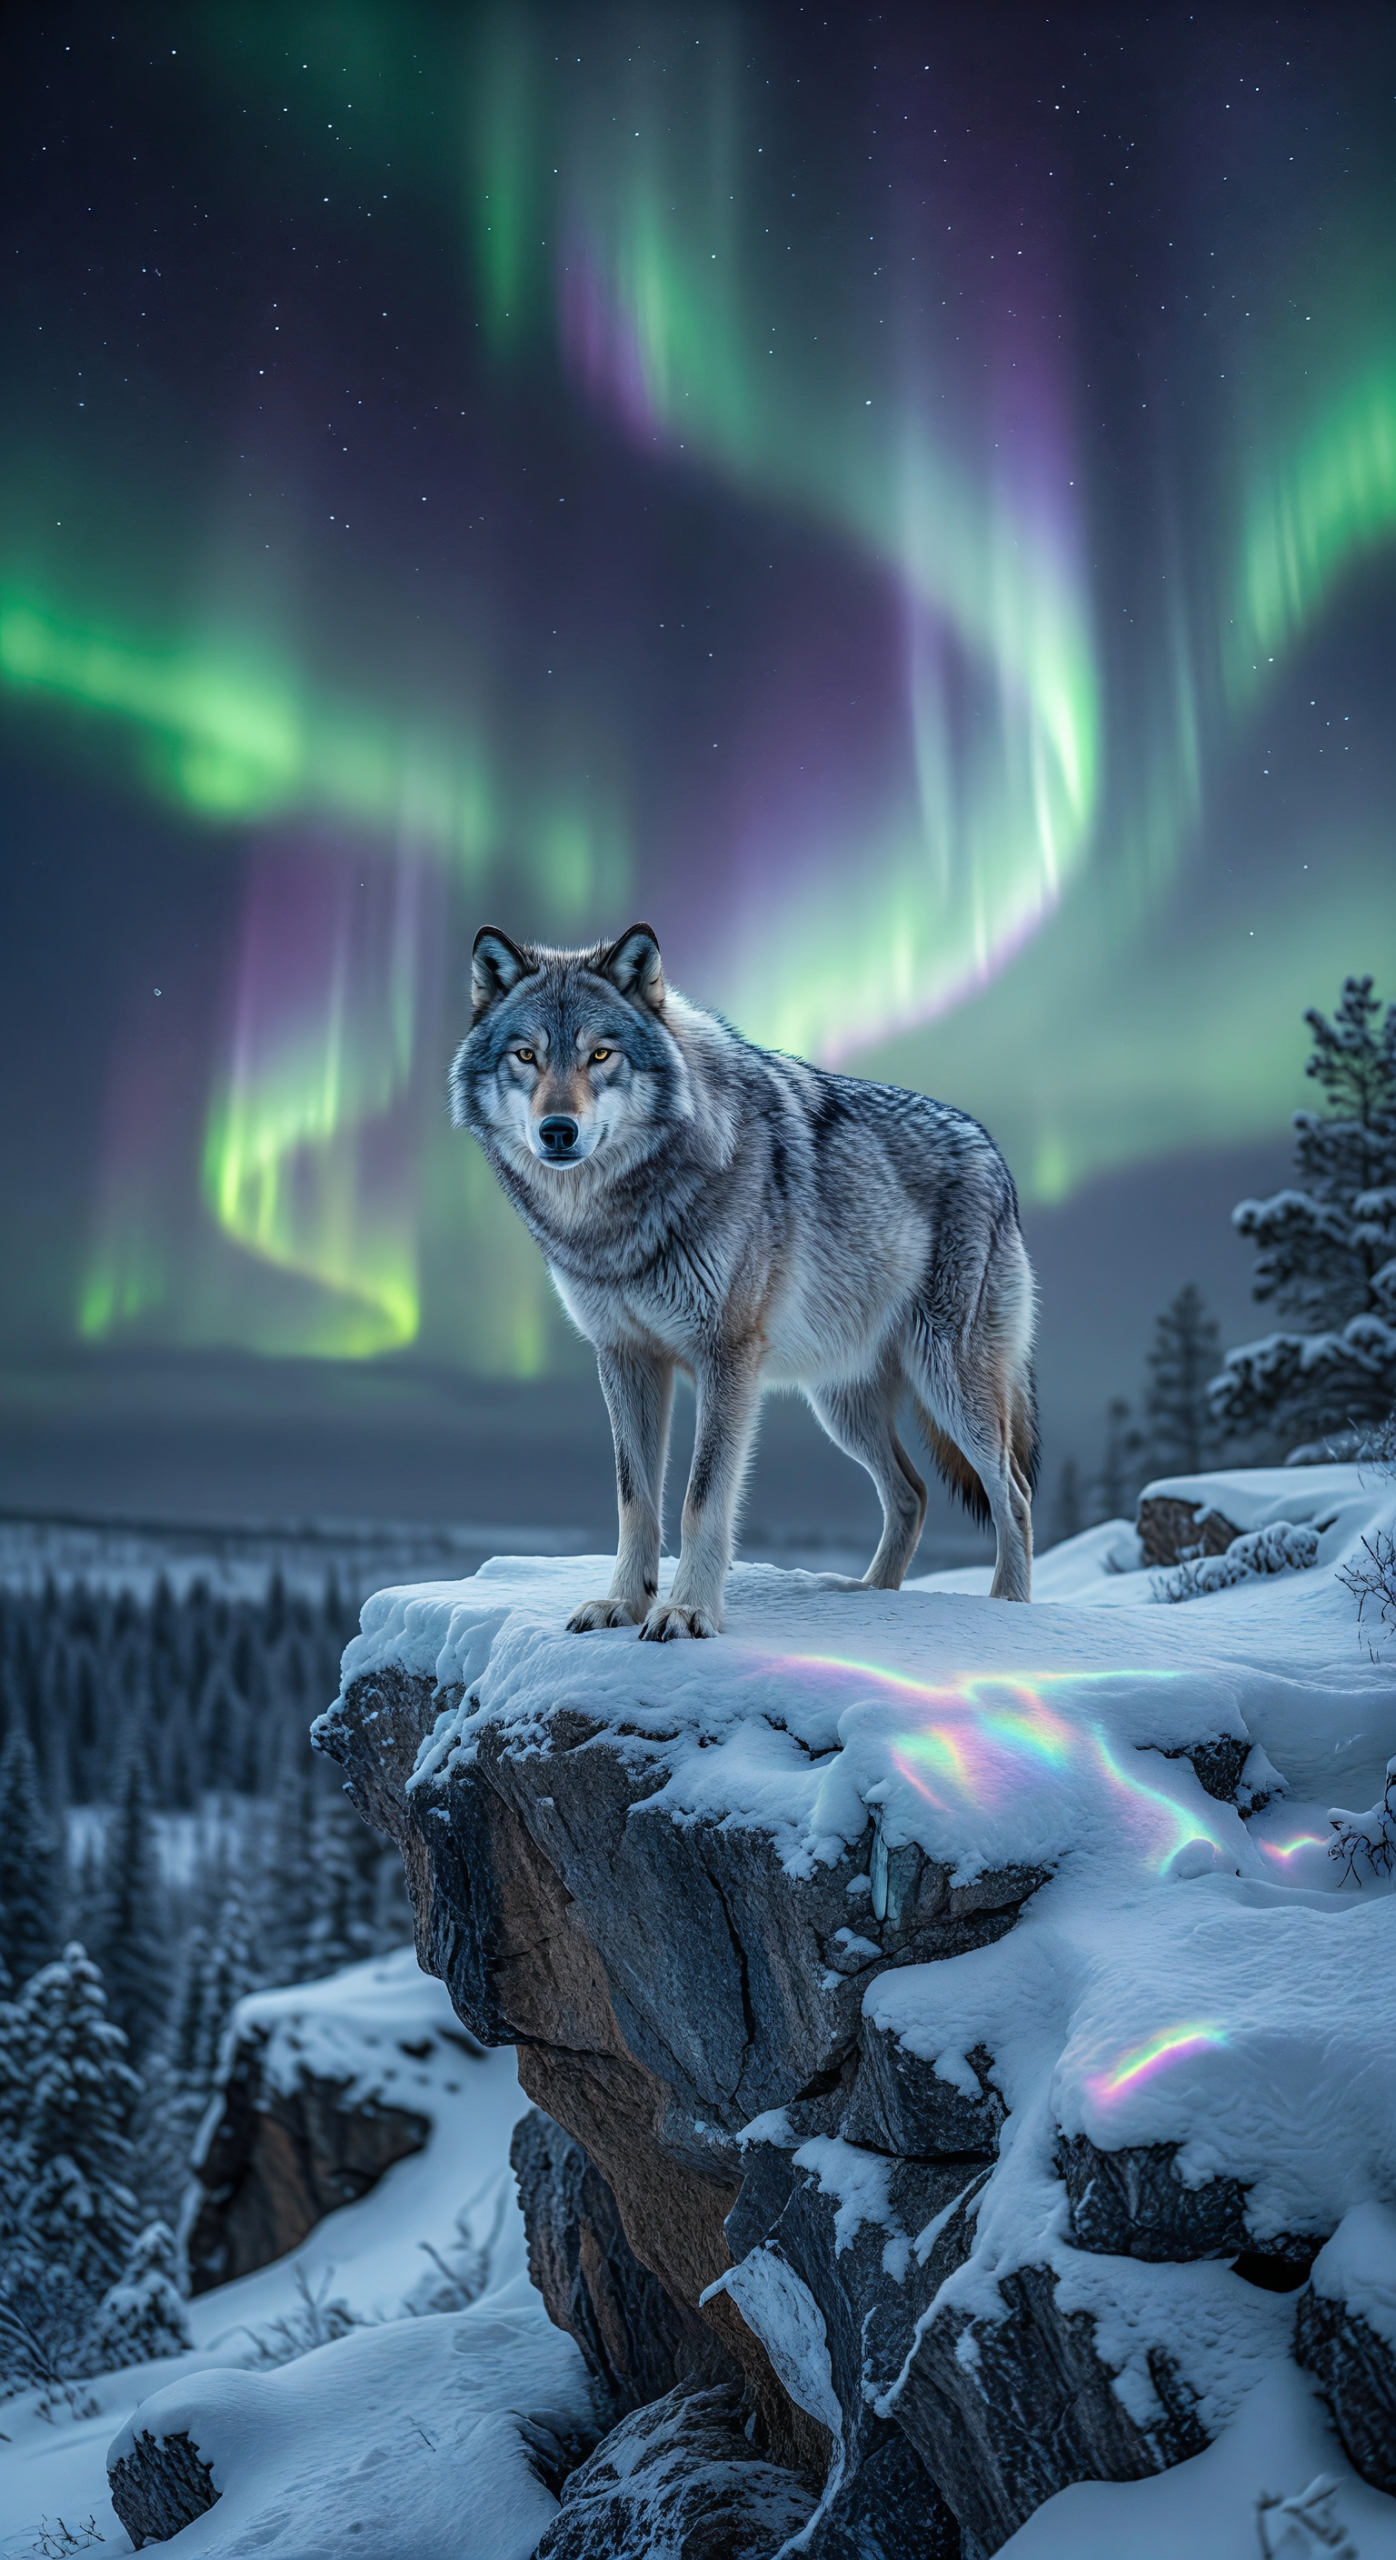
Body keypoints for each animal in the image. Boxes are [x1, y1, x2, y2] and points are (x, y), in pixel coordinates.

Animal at [451, 922, 1038, 1640]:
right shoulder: (624, 1356)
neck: (618, 1223)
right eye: (527, 1056)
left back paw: (1008, 1608)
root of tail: (994, 1150)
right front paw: (622, 1604)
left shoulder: (725, 1358)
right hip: (841, 1405)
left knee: (1014, 1493)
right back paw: (868, 1595)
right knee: (913, 1493)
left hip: (950, 1385)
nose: (557, 1130)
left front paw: (687, 1612)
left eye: (601, 1055)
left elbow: (702, 1499)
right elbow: (634, 1500)